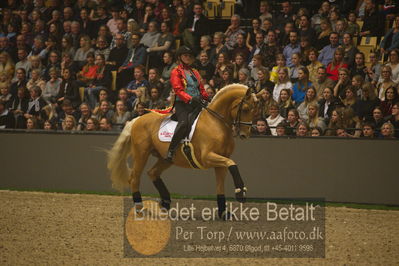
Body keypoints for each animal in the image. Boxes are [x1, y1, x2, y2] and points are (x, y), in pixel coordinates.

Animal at [108, 84, 260, 219]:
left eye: (255, 110)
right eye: (245, 109)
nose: (245, 135)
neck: (216, 122)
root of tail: (138, 119)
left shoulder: (220, 161)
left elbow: (221, 184)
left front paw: (224, 213)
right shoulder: (207, 157)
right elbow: (232, 164)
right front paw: (241, 192)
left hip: (165, 159)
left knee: (153, 173)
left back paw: (165, 204)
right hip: (142, 154)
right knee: (134, 178)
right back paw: (140, 208)